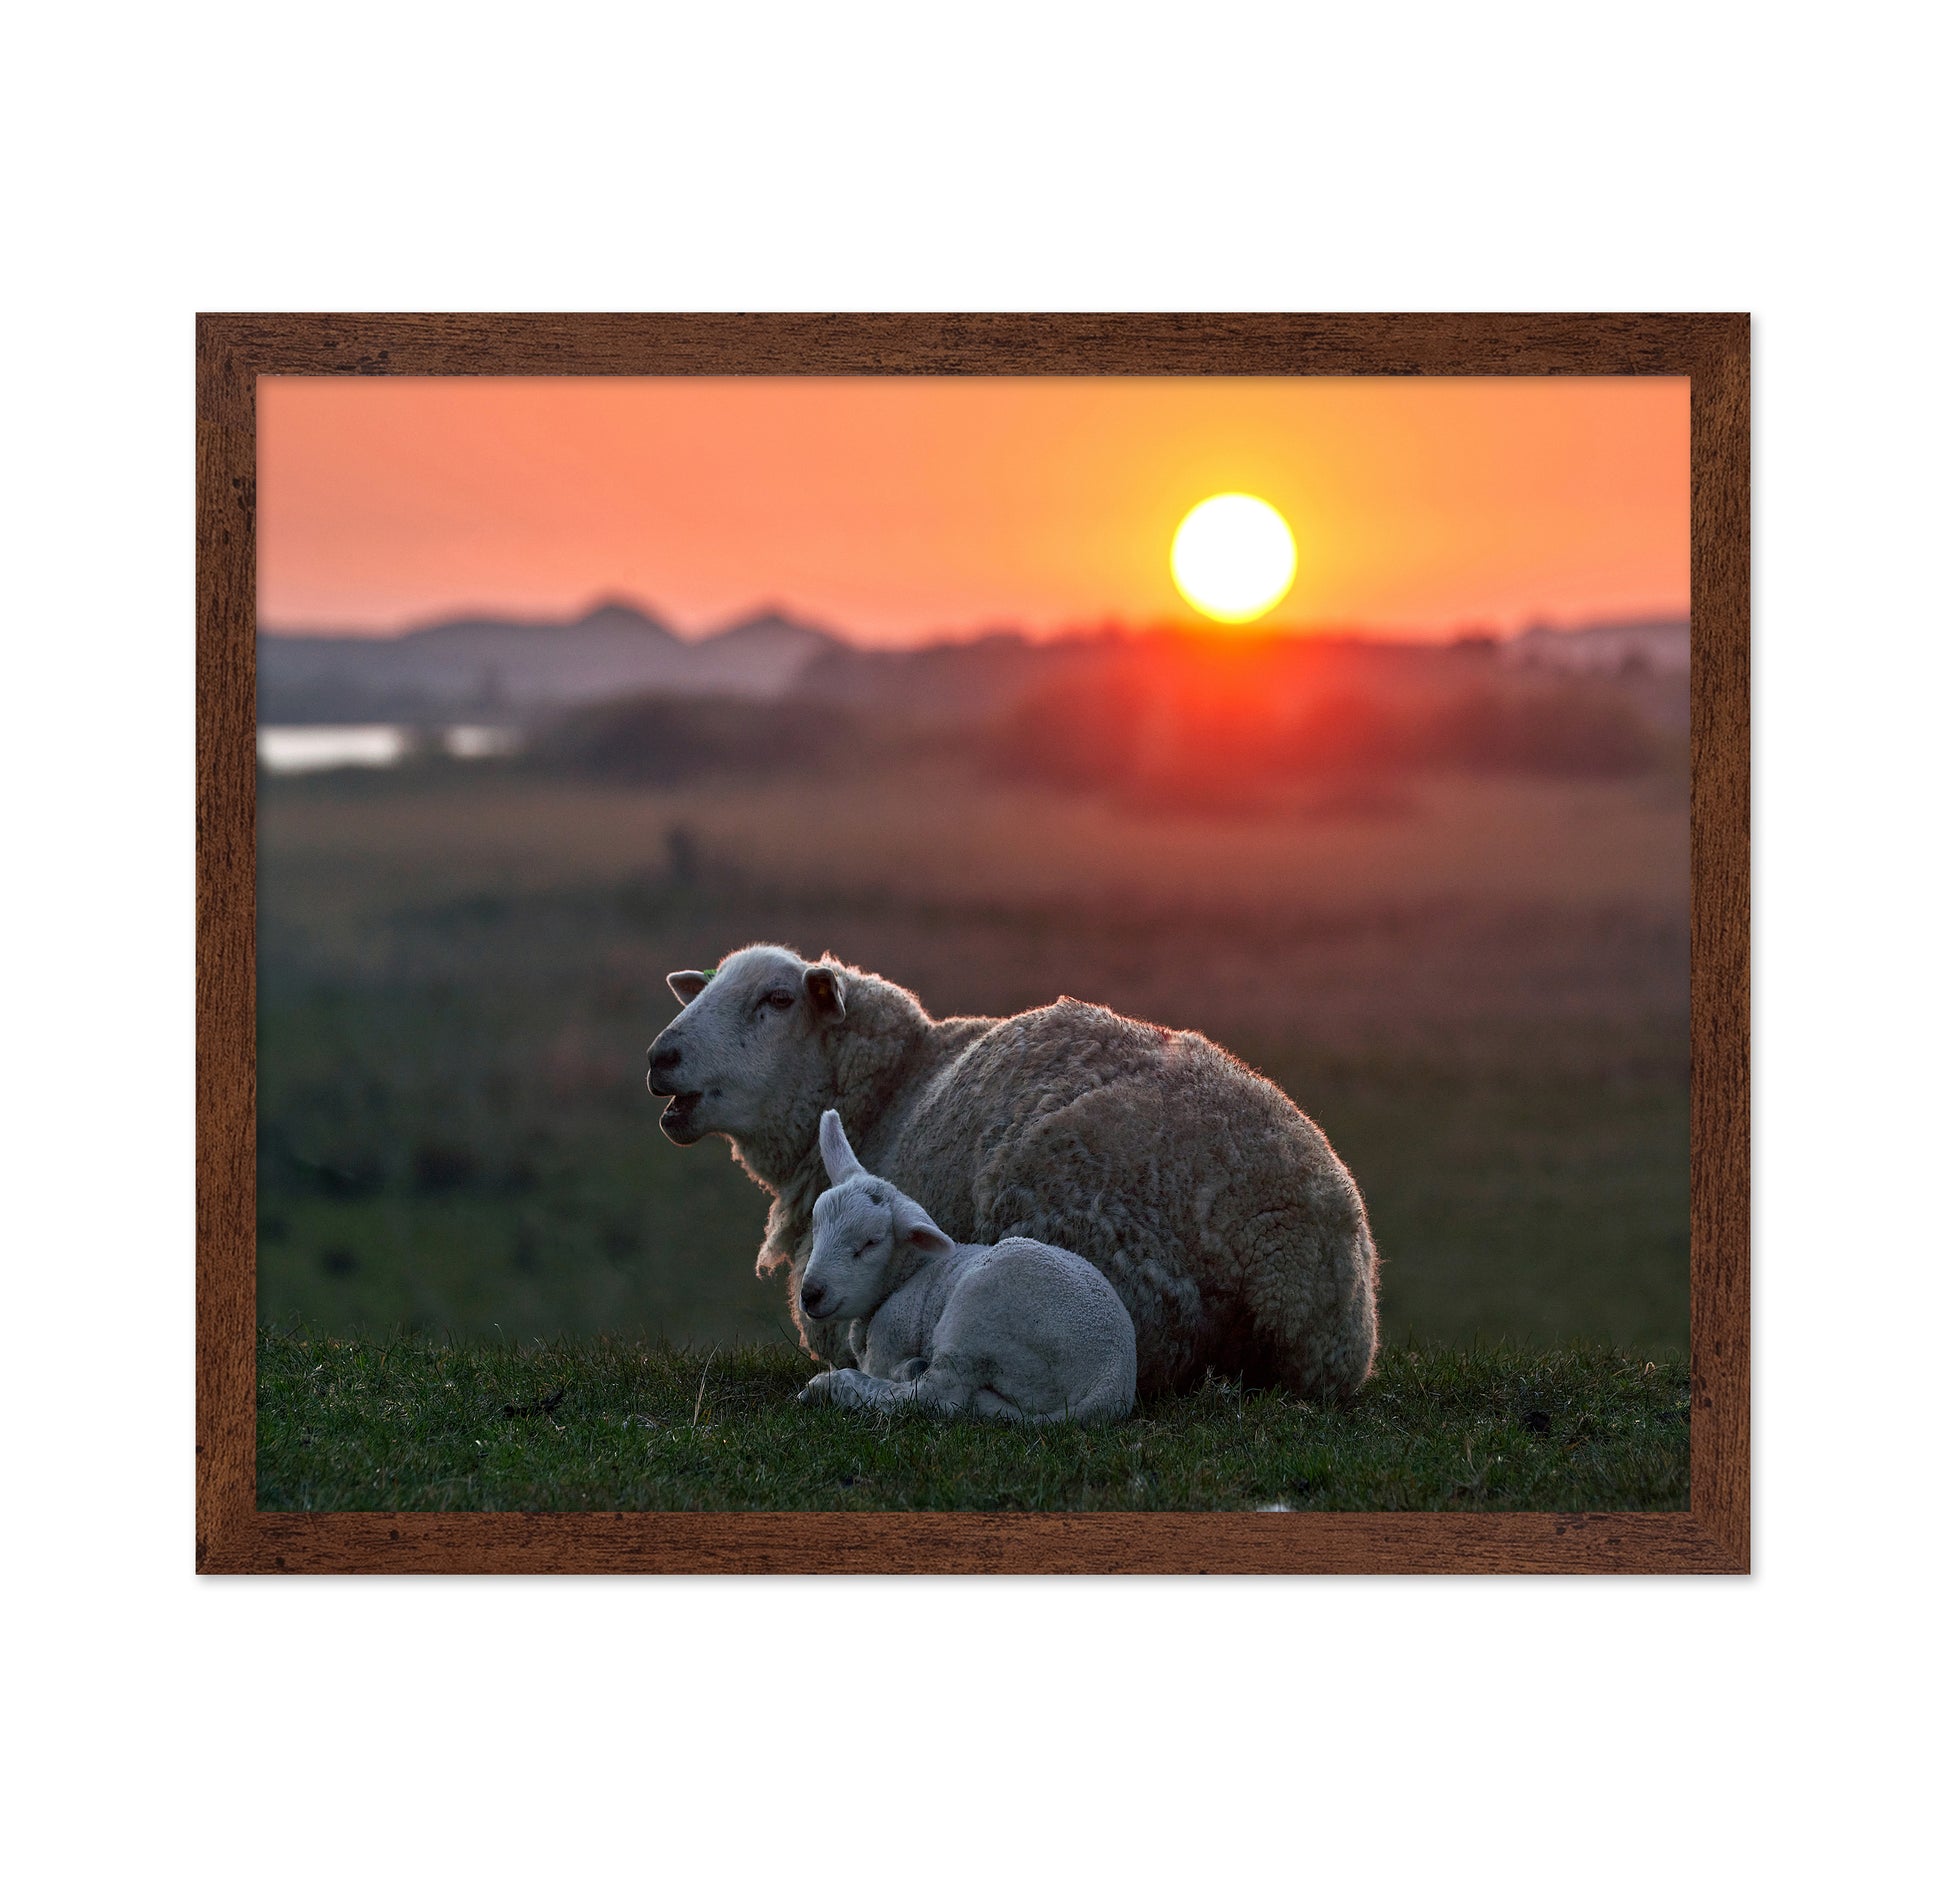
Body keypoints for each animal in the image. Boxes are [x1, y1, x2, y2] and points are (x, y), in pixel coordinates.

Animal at [795, 1110, 1138, 1423]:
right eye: (816, 1226)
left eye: (871, 1243)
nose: (810, 1293)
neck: (905, 1277)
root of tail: (1109, 1384)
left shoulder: (889, 1342)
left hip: (976, 1318)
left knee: (937, 1396)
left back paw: (829, 1386)